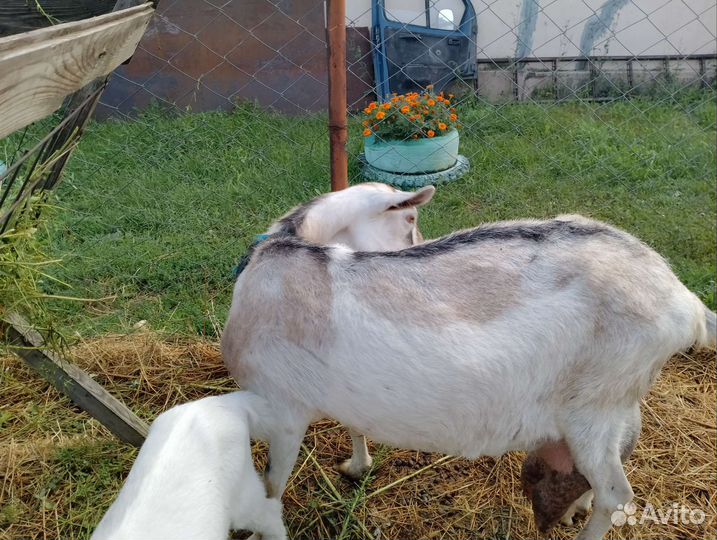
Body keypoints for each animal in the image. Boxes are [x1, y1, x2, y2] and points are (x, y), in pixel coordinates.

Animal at [222, 183, 716, 540]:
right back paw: (576, 507)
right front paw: (356, 467)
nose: (419, 244)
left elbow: (270, 488)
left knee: (617, 495)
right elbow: (353, 423)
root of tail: (685, 301)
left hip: (593, 406)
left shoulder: (282, 409)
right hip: (614, 403)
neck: (284, 252)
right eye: (411, 218)